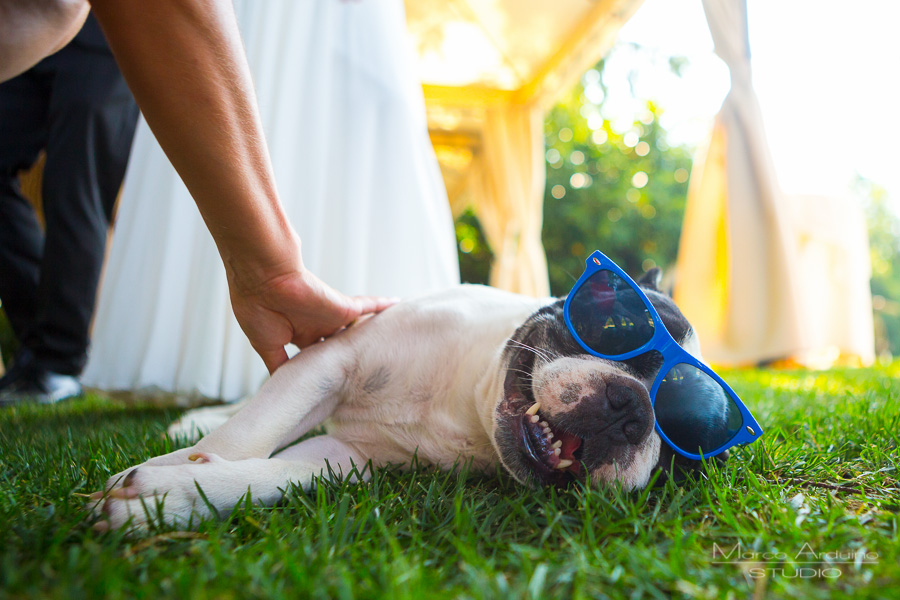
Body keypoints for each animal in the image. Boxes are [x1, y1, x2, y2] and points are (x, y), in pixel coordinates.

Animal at [91, 270, 740, 532]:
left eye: (688, 444)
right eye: (617, 327)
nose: (633, 410)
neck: (467, 407)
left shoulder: (349, 457)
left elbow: (274, 474)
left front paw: (176, 497)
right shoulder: (329, 360)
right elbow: (245, 435)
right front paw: (176, 470)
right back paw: (188, 423)